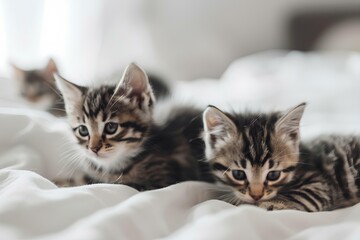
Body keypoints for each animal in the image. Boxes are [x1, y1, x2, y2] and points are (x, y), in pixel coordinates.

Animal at [202, 103, 360, 212]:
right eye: (238, 174)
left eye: (273, 175)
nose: (256, 196)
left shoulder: (320, 183)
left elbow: (298, 195)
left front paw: (270, 204)